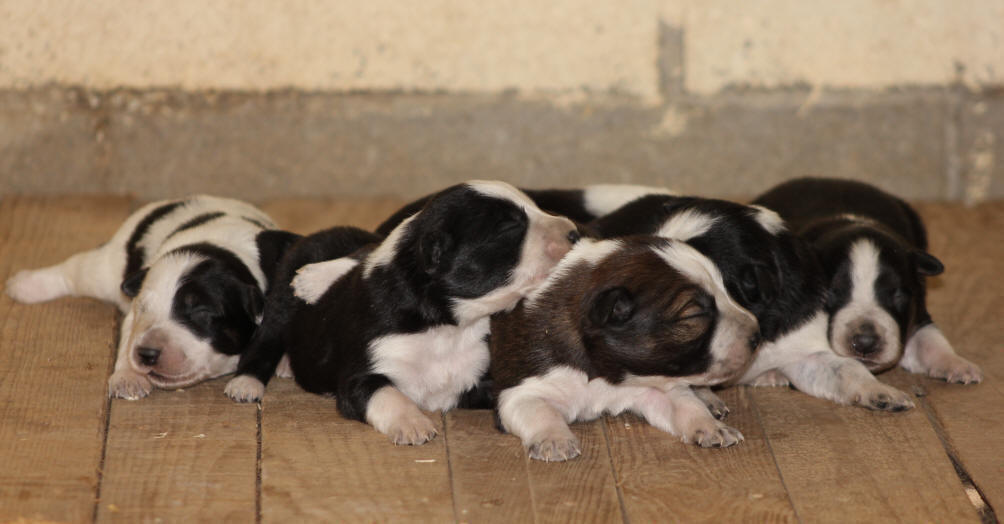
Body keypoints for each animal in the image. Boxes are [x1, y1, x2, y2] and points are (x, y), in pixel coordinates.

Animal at [4, 193, 293, 397]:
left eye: (201, 312)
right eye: (145, 308)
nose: (147, 354)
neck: (223, 248)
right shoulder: (133, 309)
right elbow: (129, 336)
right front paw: (128, 378)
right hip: (106, 269)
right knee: (75, 269)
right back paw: (24, 285)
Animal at [224, 180, 578, 443]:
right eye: (508, 227)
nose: (574, 232)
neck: (446, 325)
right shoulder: (361, 376)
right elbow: (388, 394)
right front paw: (414, 425)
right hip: (281, 302)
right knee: (266, 340)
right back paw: (247, 383)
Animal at [487, 234, 759, 459]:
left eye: (727, 291)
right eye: (694, 315)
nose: (757, 334)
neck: (607, 374)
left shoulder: (656, 386)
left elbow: (686, 404)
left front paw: (713, 427)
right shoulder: (522, 390)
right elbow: (540, 410)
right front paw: (555, 440)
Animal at [755, 177, 979, 381]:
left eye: (897, 296)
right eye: (830, 294)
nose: (866, 341)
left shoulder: (919, 309)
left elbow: (930, 337)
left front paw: (956, 364)